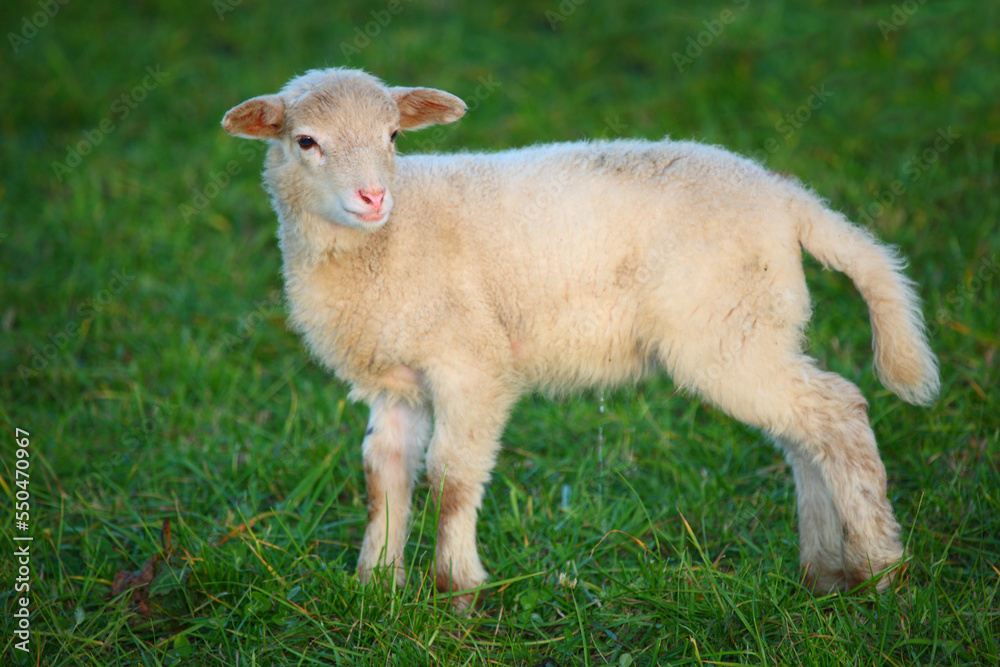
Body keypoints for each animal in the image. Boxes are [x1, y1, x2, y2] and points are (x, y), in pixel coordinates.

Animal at [221, 67, 939, 611]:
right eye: (306, 141)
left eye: (393, 135)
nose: (373, 196)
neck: (389, 243)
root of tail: (786, 200)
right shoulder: (394, 383)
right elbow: (383, 474)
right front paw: (377, 588)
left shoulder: (472, 365)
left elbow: (452, 475)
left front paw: (458, 590)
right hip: (757, 326)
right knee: (805, 436)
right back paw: (823, 571)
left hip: (724, 328)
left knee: (839, 410)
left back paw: (881, 567)